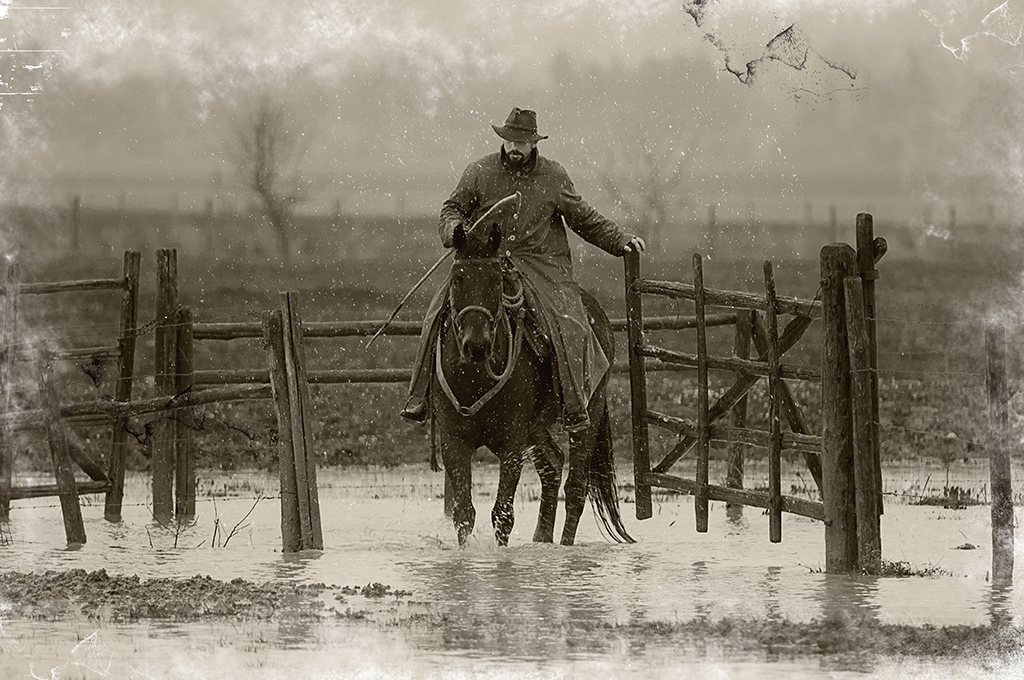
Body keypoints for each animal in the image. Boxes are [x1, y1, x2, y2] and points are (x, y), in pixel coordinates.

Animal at [430, 222, 630, 548]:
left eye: (495, 279)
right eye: (458, 278)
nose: (476, 344)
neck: (476, 377)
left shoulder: (512, 441)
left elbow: (502, 513)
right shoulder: (453, 440)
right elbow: (464, 513)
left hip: (589, 412)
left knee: (576, 486)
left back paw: (564, 546)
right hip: (536, 429)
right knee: (552, 465)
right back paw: (541, 540)